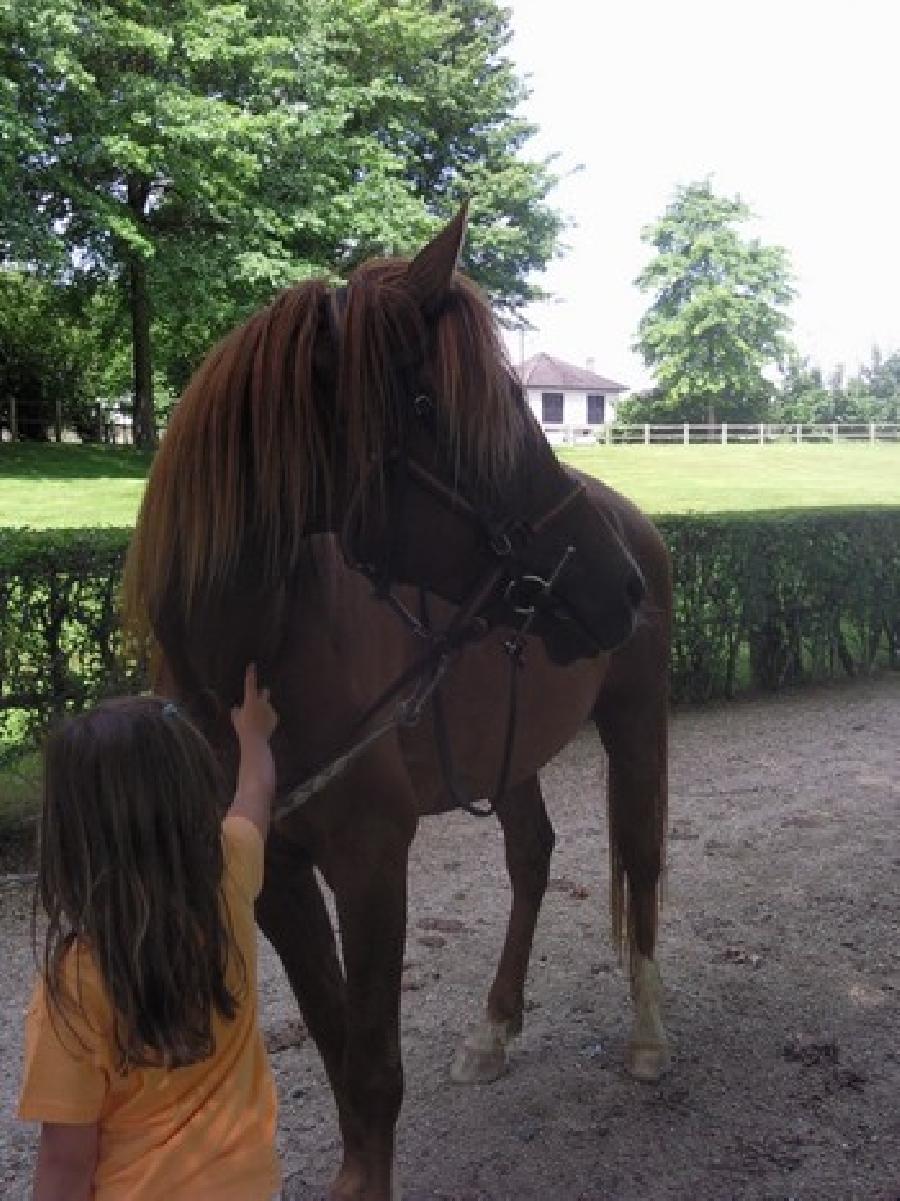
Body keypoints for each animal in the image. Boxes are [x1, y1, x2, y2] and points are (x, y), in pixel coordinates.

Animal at [126, 208, 672, 1201]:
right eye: (431, 409)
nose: (616, 584)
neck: (257, 664)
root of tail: (633, 521)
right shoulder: (277, 873)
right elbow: (338, 1047)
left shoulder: (373, 859)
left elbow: (376, 1066)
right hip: (513, 751)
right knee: (532, 856)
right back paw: (493, 1027)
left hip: (637, 722)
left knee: (641, 861)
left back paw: (648, 1033)